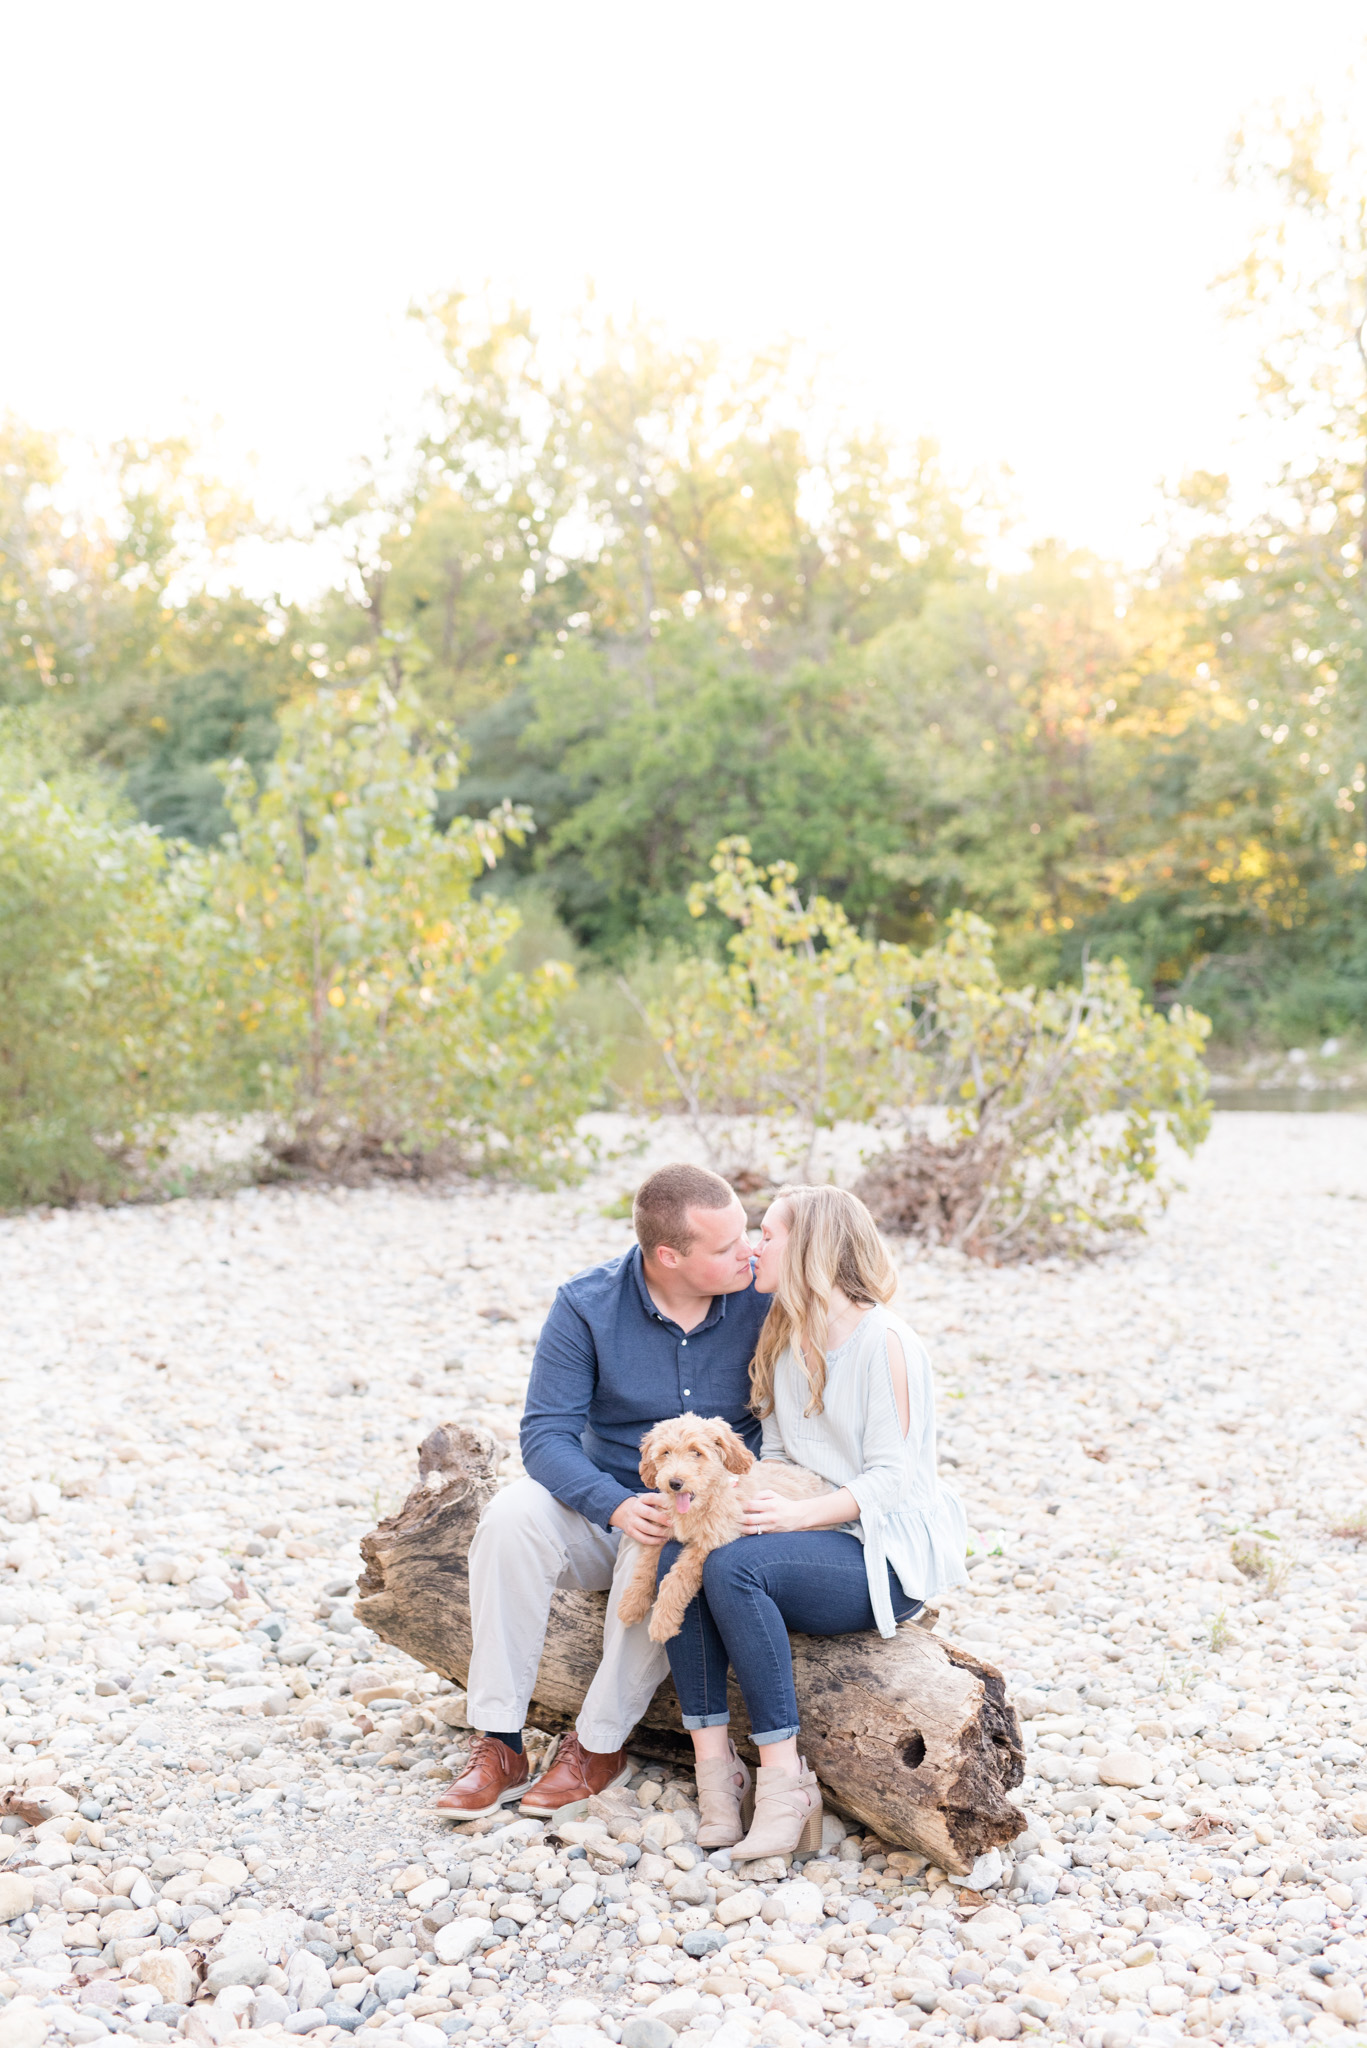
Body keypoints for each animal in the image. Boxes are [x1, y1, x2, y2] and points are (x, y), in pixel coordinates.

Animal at [618, 1417, 827, 1638]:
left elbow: (677, 1578)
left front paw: (662, 1623)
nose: (674, 1483)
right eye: (665, 1452)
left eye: (696, 1452)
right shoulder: (661, 1531)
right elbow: (645, 1567)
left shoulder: (711, 1542)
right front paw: (632, 1603)